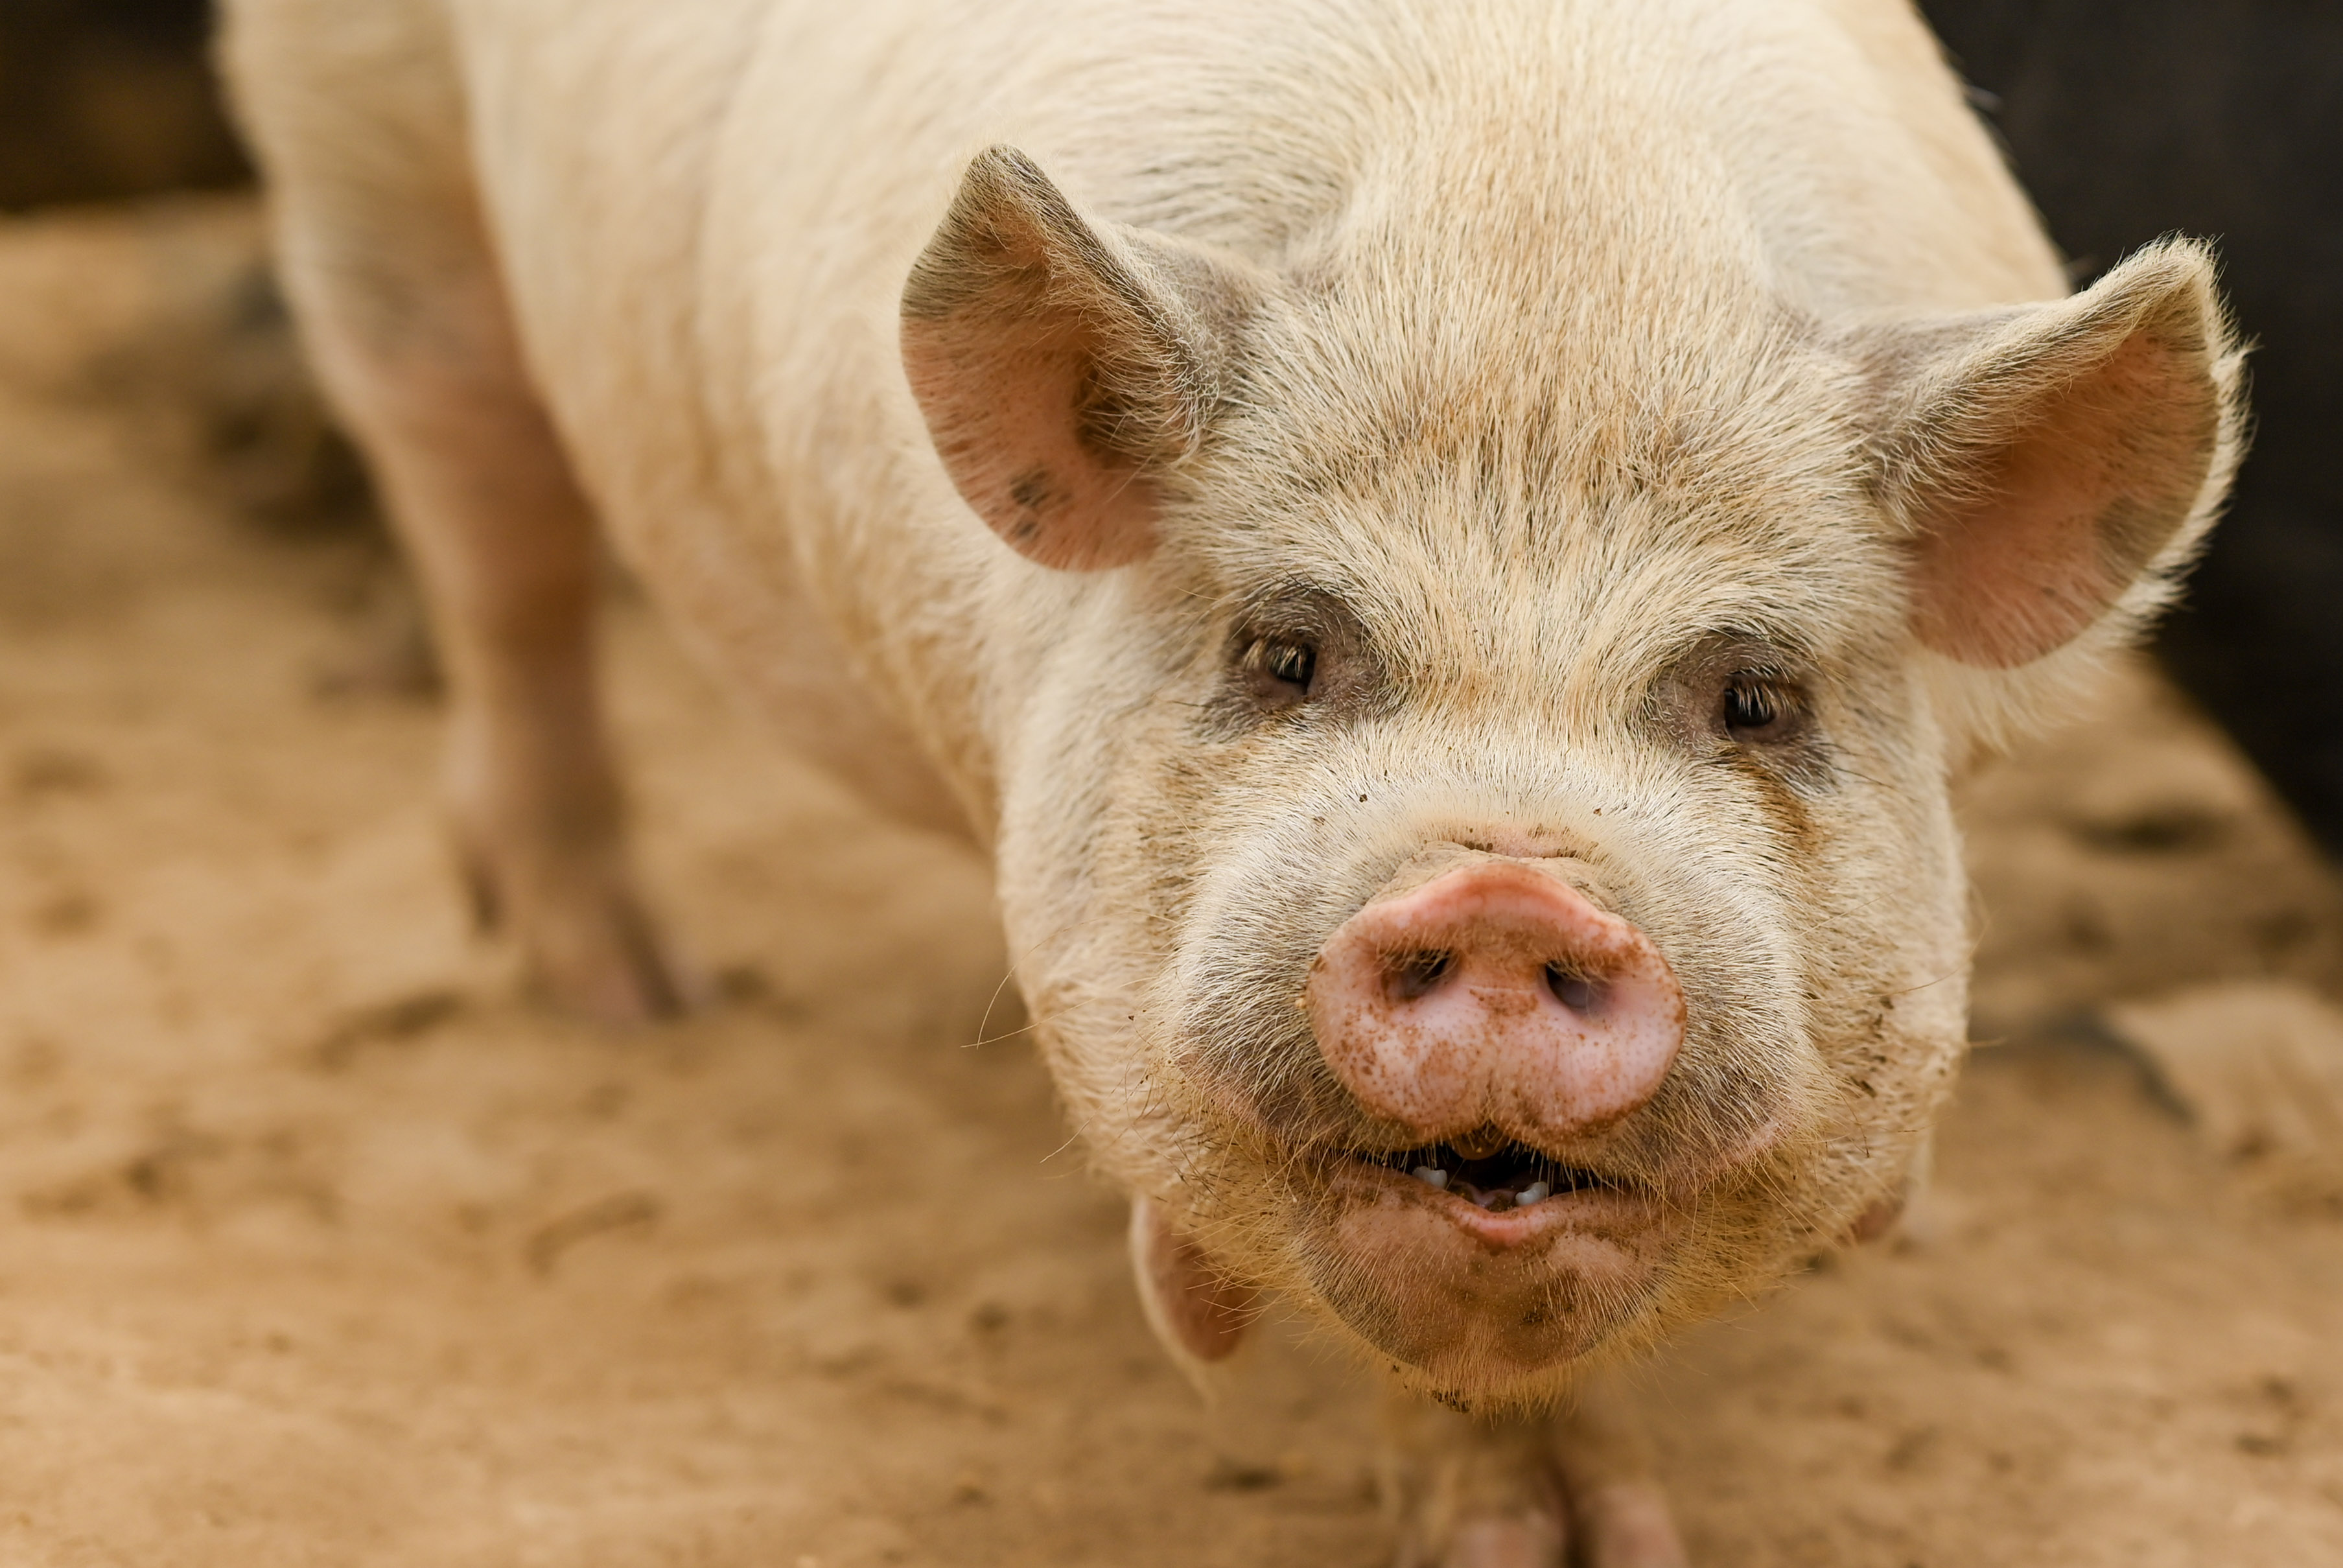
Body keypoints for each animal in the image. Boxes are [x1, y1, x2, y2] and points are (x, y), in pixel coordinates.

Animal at [219, 0, 2241, 1562]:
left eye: (1751, 694)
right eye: (1283, 653)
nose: (1504, 889)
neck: (1544, 272)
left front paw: (1607, 1534)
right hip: (360, 149)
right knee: (489, 524)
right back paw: (623, 994)